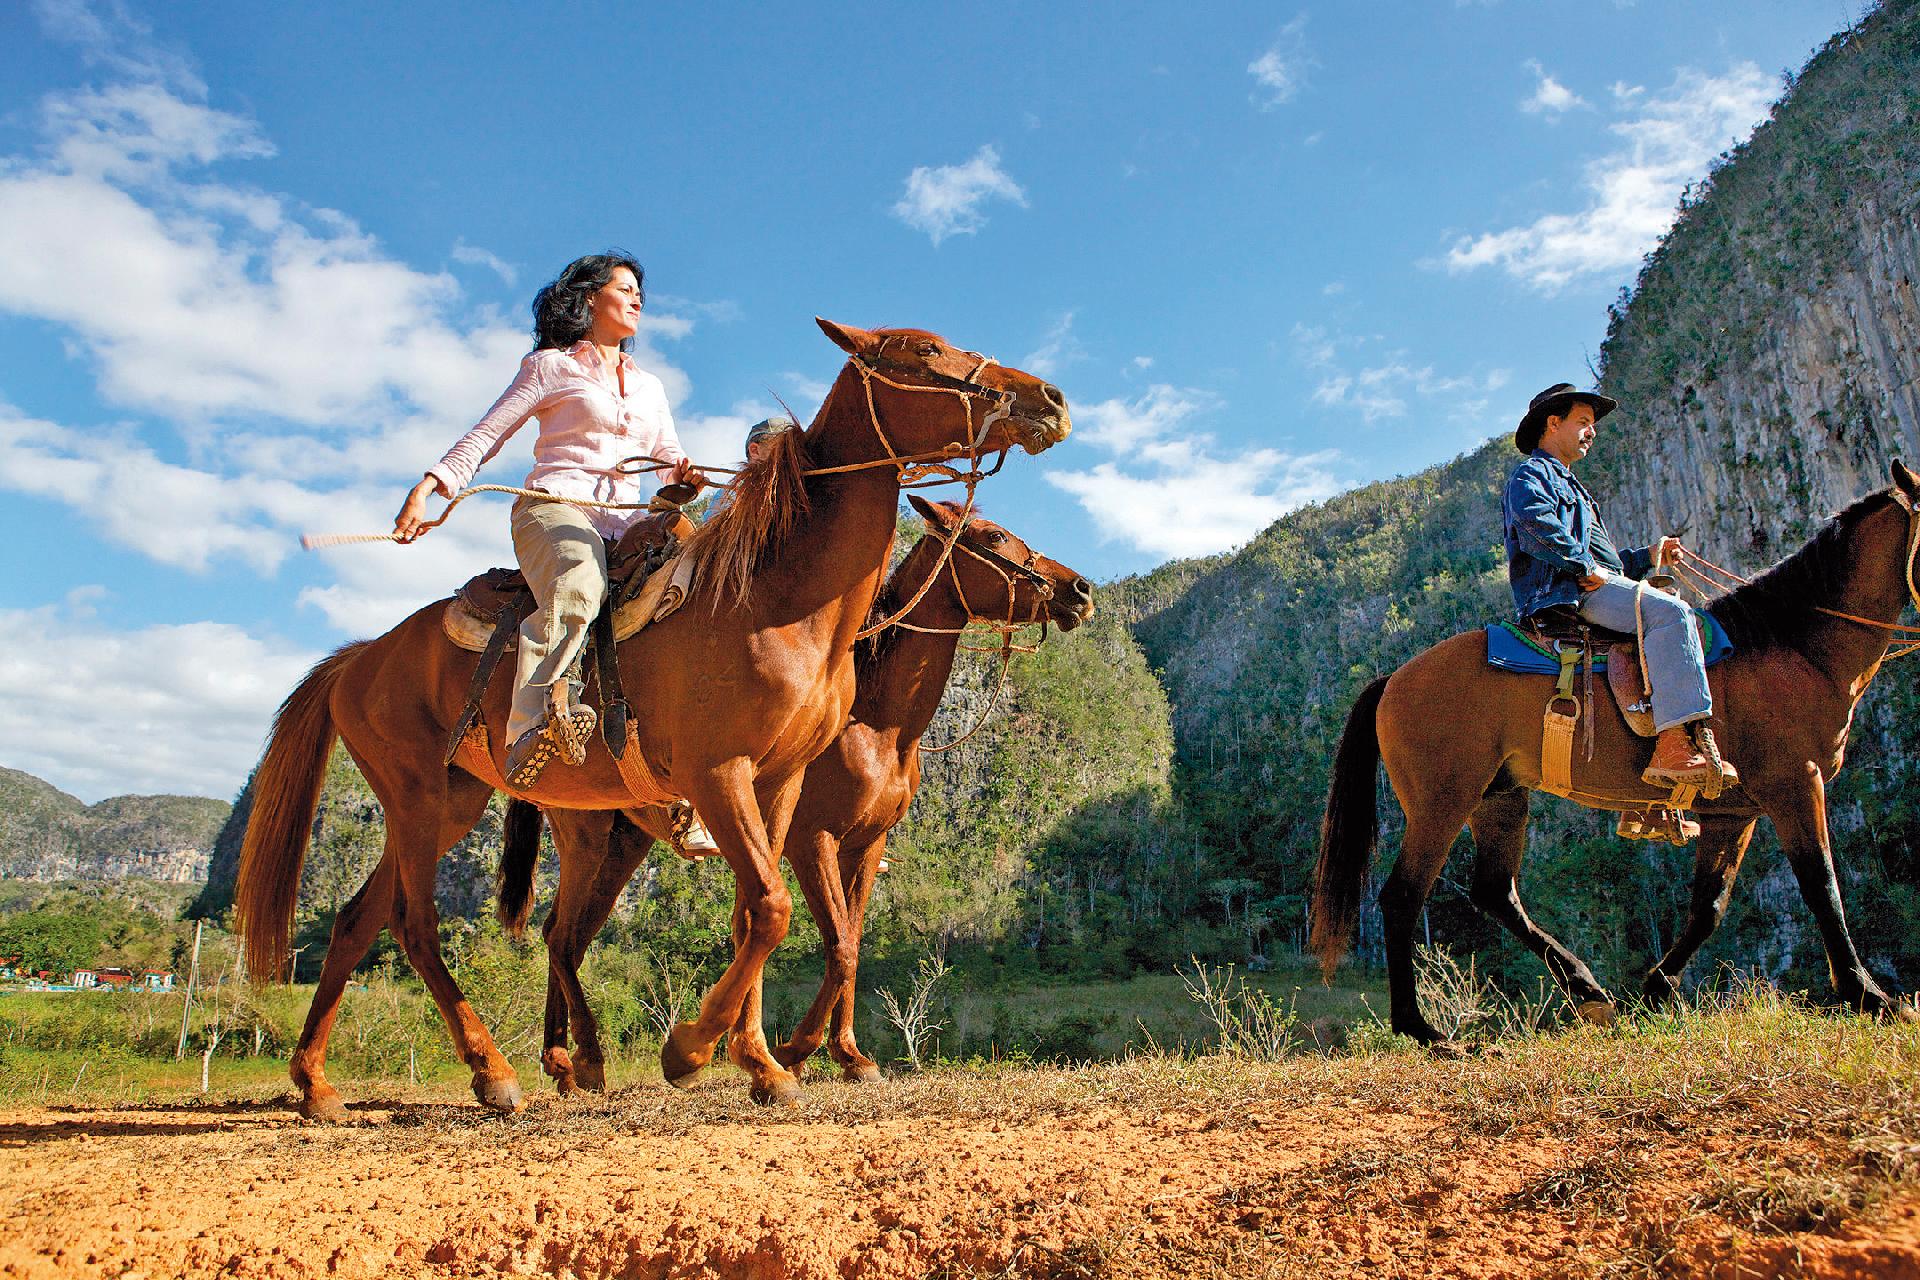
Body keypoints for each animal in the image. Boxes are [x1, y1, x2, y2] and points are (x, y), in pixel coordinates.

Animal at [495, 497, 1095, 1093]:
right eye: (993, 537)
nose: (1079, 589)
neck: (878, 724)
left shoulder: (865, 847)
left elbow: (850, 941)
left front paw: (846, 1054)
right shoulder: (814, 841)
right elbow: (840, 944)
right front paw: (795, 1050)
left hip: (622, 847)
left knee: (565, 936)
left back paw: (564, 1063)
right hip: (587, 837)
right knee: (560, 936)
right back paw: (574, 1062)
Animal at [1312, 461, 1920, 1048]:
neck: (1793, 648)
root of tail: (1393, 679)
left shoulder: (1732, 811)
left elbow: (1709, 907)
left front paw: (1656, 990)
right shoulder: (1796, 783)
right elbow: (1822, 885)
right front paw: (1870, 996)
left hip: (1499, 797)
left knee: (1495, 892)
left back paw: (1587, 990)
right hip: (1441, 803)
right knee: (1402, 898)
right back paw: (1423, 1030)